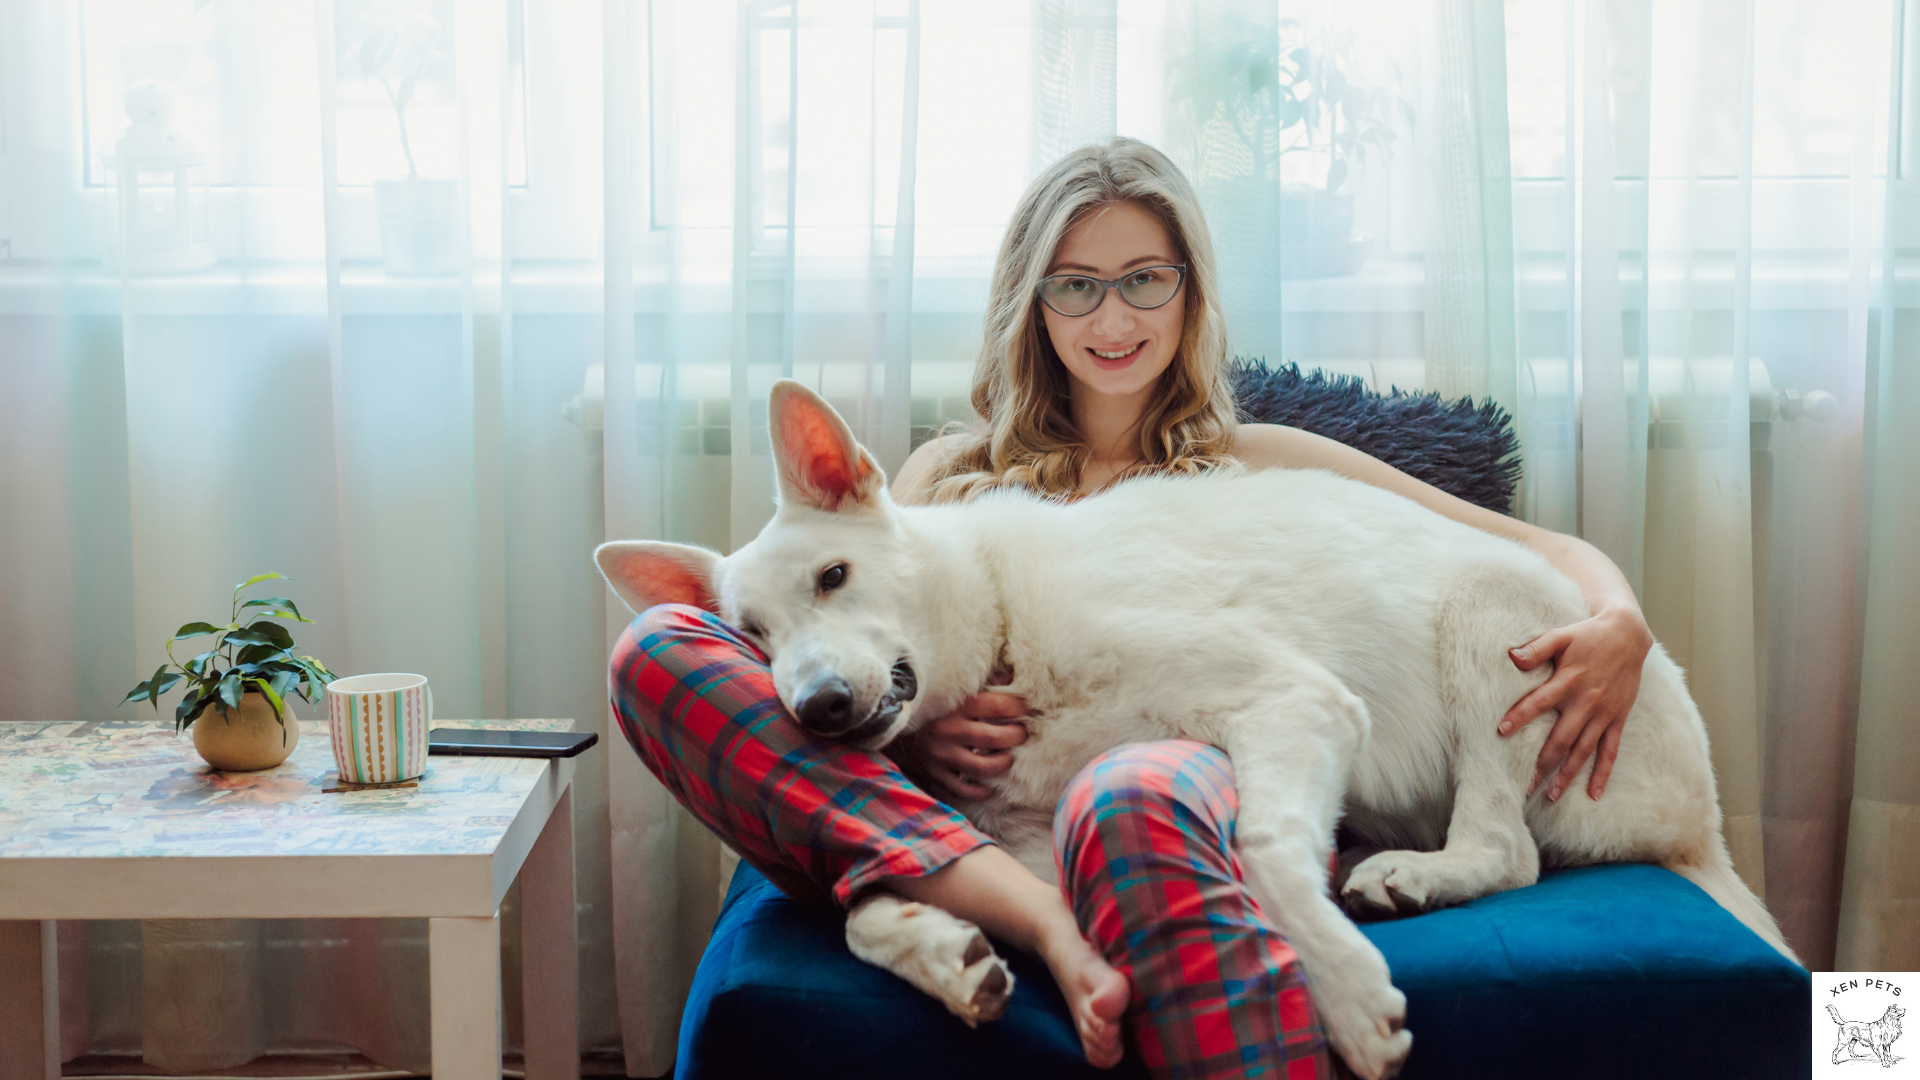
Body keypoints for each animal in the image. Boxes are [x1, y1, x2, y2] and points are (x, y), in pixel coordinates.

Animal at [599, 378, 1797, 1076]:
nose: (820, 712)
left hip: (1493, 617)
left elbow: (1263, 852)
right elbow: (871, 912)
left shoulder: (1296, 702)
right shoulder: (1021, 845)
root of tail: (1703, 826)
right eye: (753, 637)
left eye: (835, 577)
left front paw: (1350, 1001)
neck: (1007, 629)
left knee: (1505, 849)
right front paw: (947, 956)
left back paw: (1412, 879)